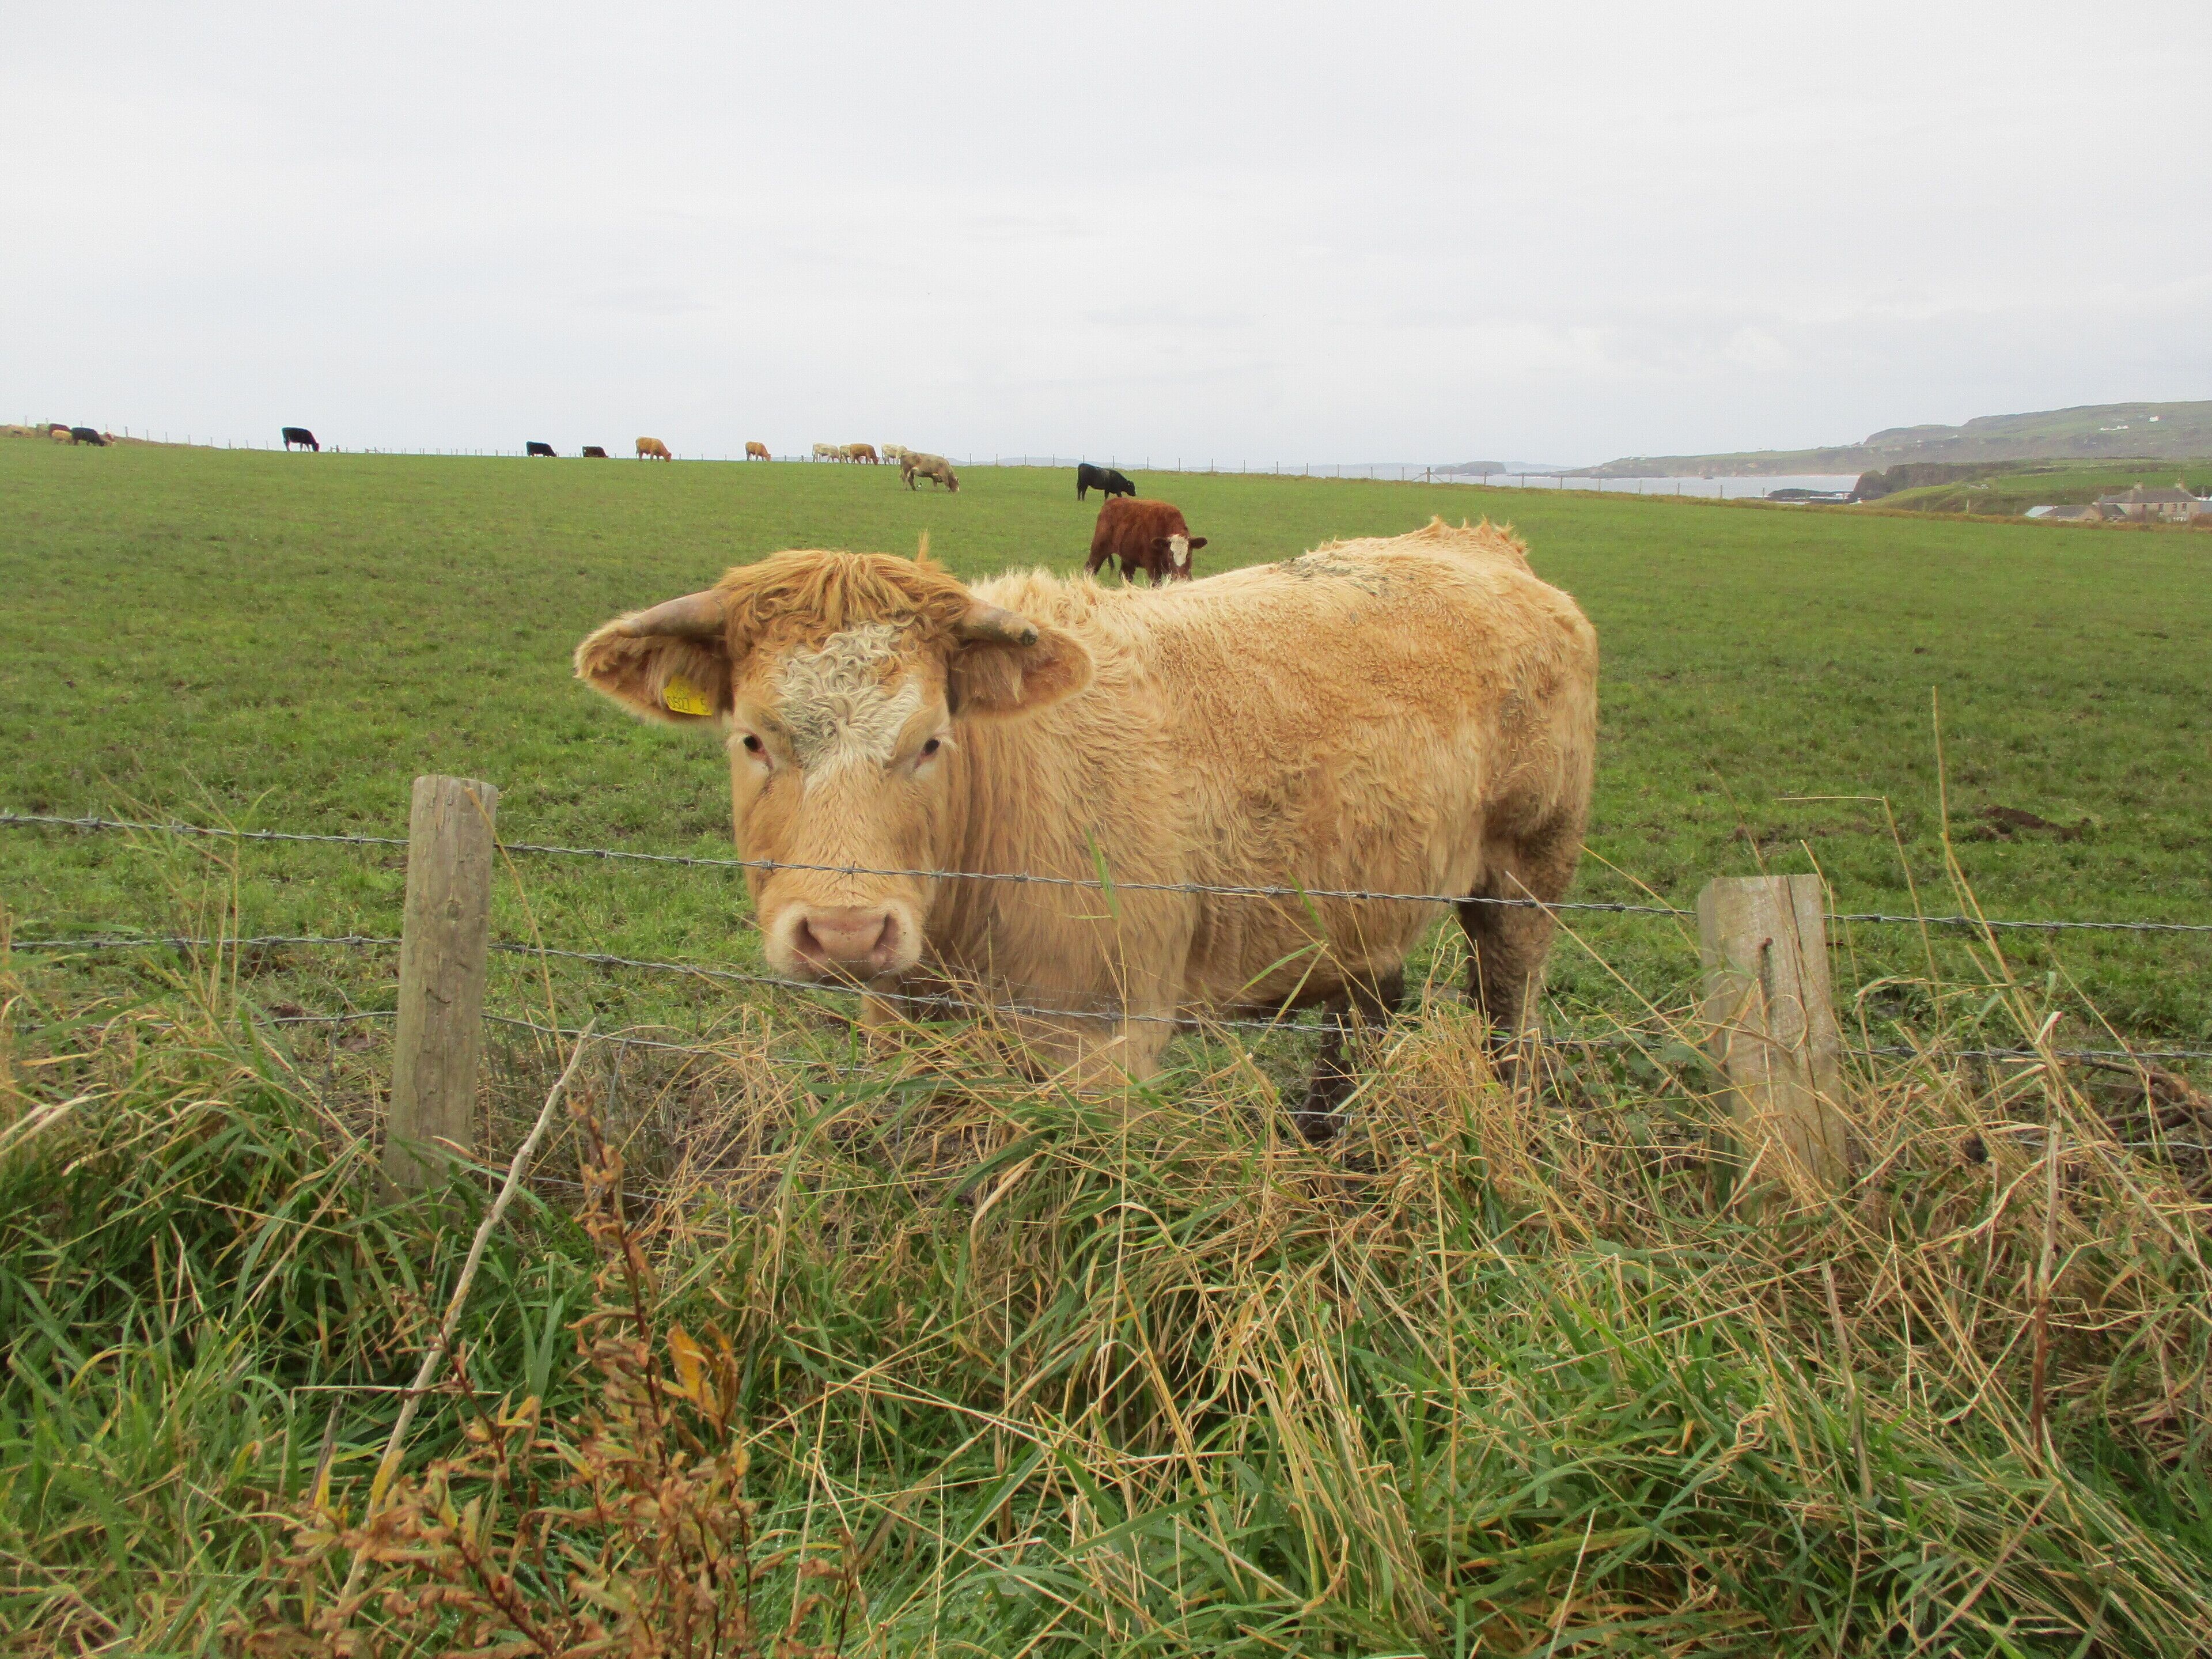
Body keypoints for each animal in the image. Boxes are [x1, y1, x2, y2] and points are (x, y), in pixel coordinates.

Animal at [572, 517, 1597, 1139]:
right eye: (752, 738)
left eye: (932, 741)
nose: (847, 930)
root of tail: (1482, 544)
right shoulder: (901, 1030)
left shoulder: (1105, 1047)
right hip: (1360, 903)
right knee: (1364, 1013)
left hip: (1526, 879)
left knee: (1507, 1014)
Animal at [1085, 497, 1206, 585]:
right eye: (1170, 555)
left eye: (1189, 555)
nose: (1180, 579)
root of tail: (1109, 503)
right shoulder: (1153, 566)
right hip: (1098, 550)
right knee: (1089, 570)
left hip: (1128, 558)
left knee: (1126, 576)